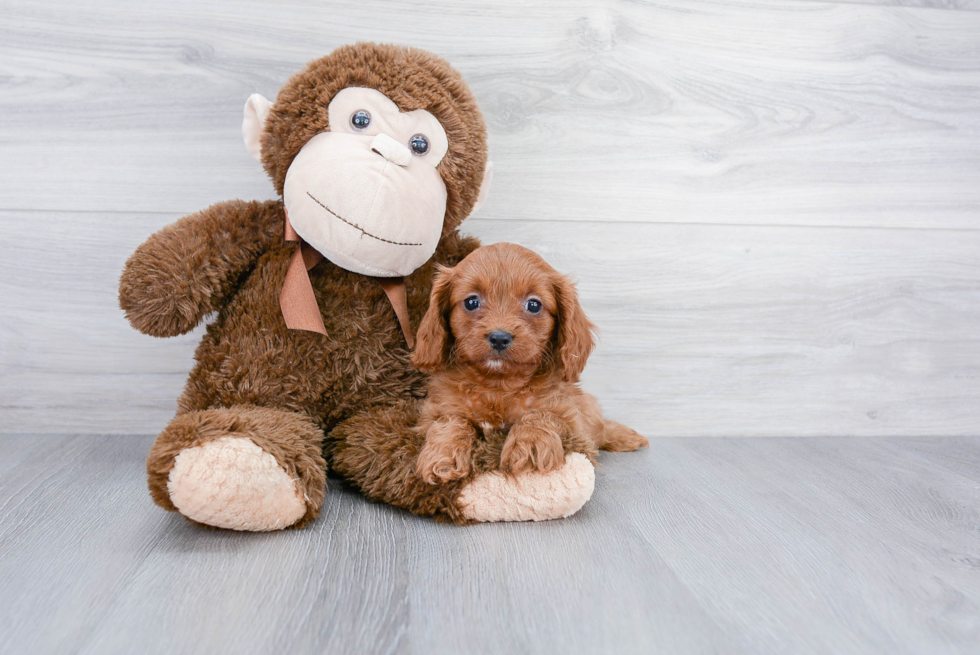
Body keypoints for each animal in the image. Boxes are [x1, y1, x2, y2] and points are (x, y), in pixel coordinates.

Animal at [410, 243, 648, 484]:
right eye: (471, 302)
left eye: (533, 305)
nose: (499, 337)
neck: (498, 385)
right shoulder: (435, 410)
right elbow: (450, 420)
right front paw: (443, 453)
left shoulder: (570, 417)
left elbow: (541, 414)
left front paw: (530, 444)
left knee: (600, 427)